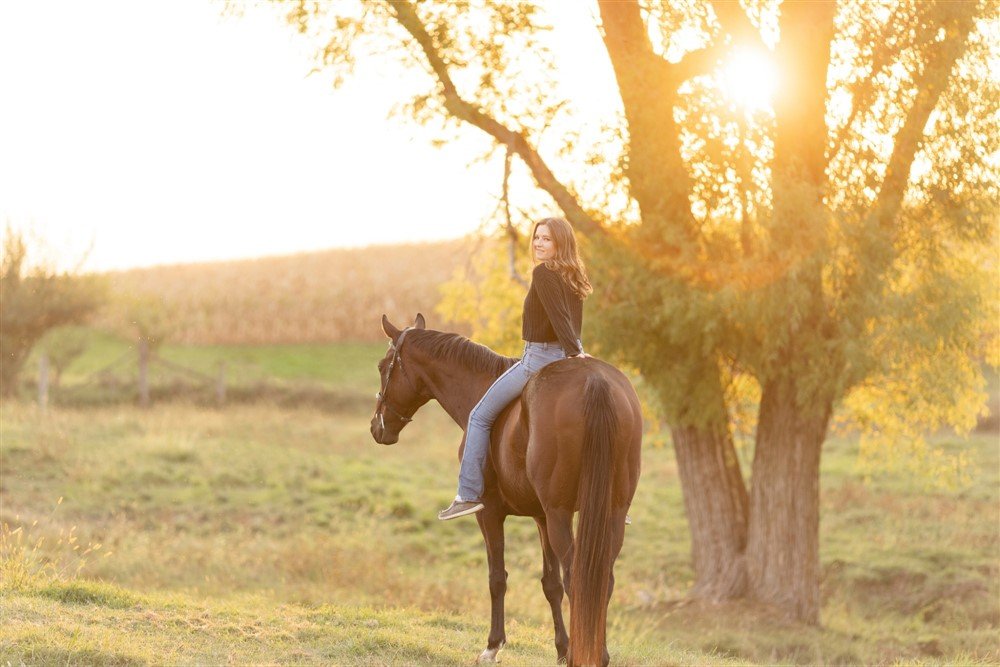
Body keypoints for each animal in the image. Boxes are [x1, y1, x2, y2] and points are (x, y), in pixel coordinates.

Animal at [372, 314, 644, 667]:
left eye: (383, 366)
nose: (377, 426)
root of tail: (595, 383)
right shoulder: (542, 518)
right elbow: (551, 584)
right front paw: (561, 647)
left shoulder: (490, 513)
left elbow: (497, 578)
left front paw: (493, 645)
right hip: (607, 515)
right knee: (601, 580)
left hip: (560, 516)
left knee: (578, 578)